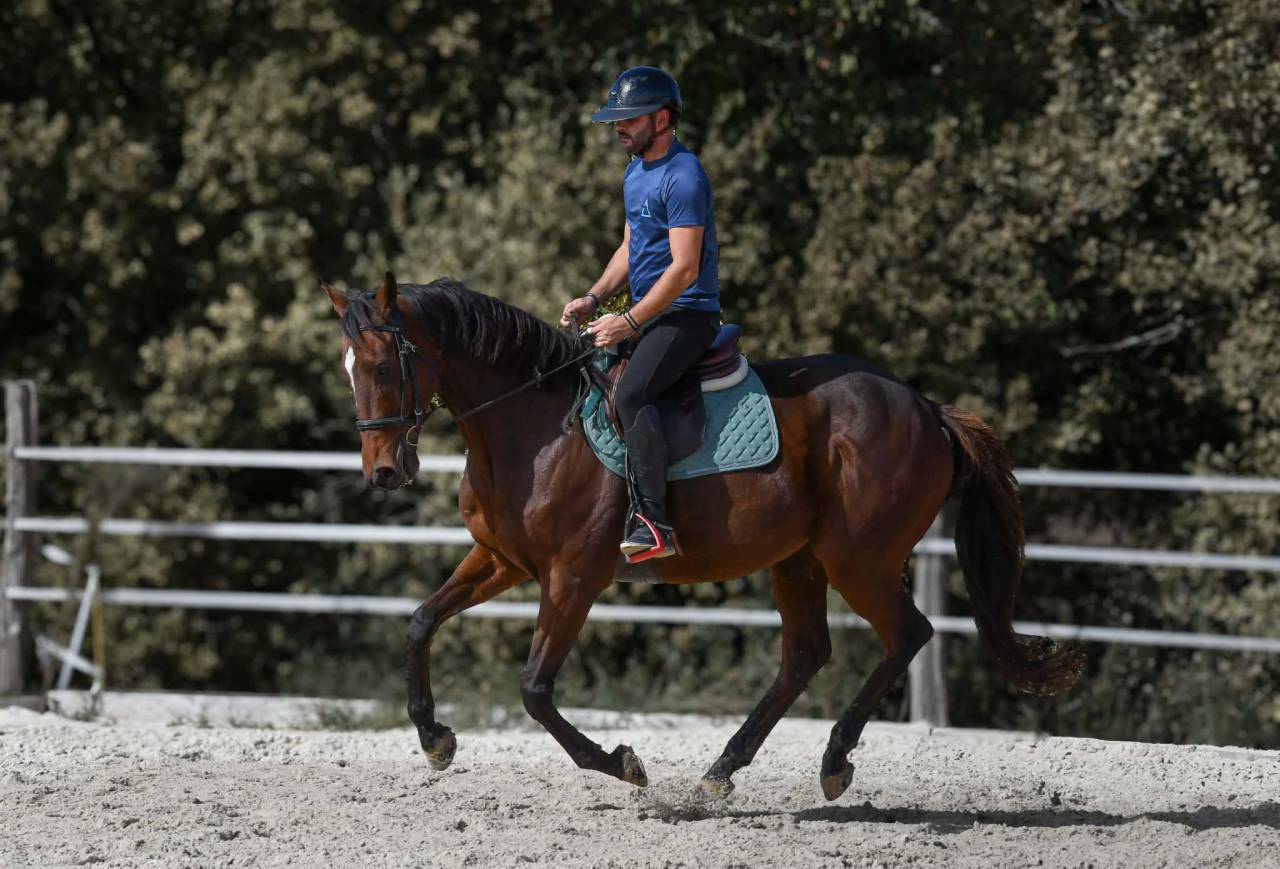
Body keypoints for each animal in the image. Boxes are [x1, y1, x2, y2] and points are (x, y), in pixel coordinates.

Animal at [323, 272, 1083, 801]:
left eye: (385, 364)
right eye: (348, 369)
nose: (383, 470)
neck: (534, 426)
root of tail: (925, 406)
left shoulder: (573, 577)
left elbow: (535, 689)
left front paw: (622, 763)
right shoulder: (501, 560)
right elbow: (421, 622)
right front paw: (434, 738)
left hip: (857, 560)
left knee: (907, 634)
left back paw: (833, 760)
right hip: (800, 560)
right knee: (806, 655)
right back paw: (723, 770)